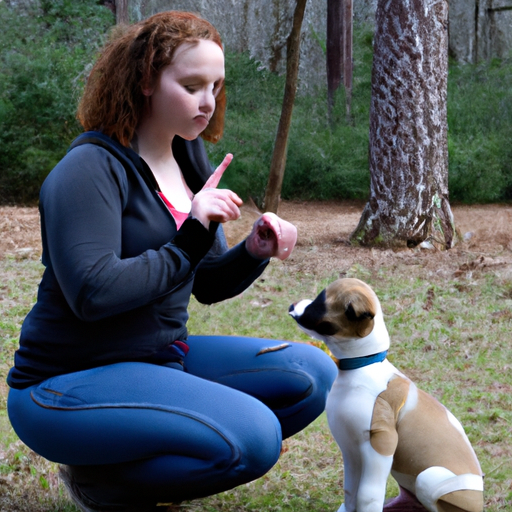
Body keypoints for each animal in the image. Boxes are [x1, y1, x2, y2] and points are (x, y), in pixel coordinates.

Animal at [290, 278, 482, 512]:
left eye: (321, 301)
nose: (292, 305)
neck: (363, 365)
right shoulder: (350, 450)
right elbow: (350, 492)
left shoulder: (380, 444)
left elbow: (367, 495)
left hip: (429, 477)